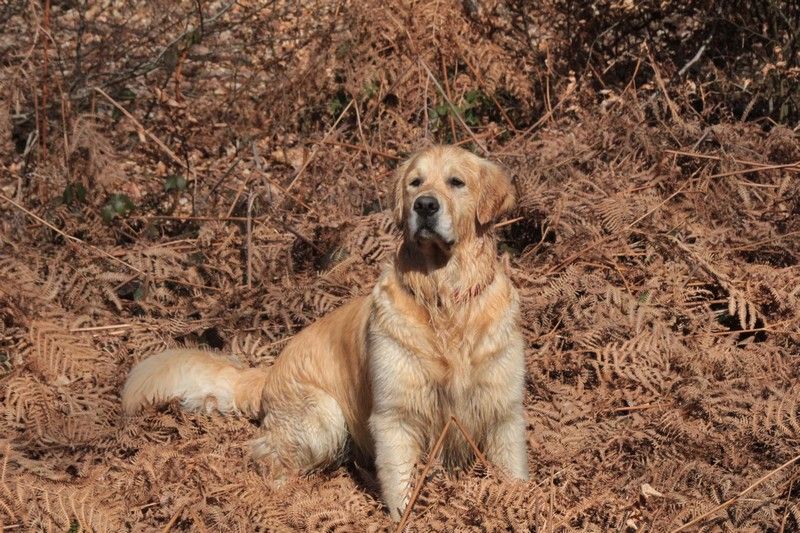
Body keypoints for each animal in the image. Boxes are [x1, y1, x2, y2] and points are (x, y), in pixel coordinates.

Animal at [122, 144, 528, 520]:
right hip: (323, 415)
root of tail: (268, 373)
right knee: (265, 454)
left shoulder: (504, 411)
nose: (425, 205)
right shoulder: (395, 415)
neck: (444, 297)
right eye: (415, 183)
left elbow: (513, 474)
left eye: (456, 182)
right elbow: (401, 481)